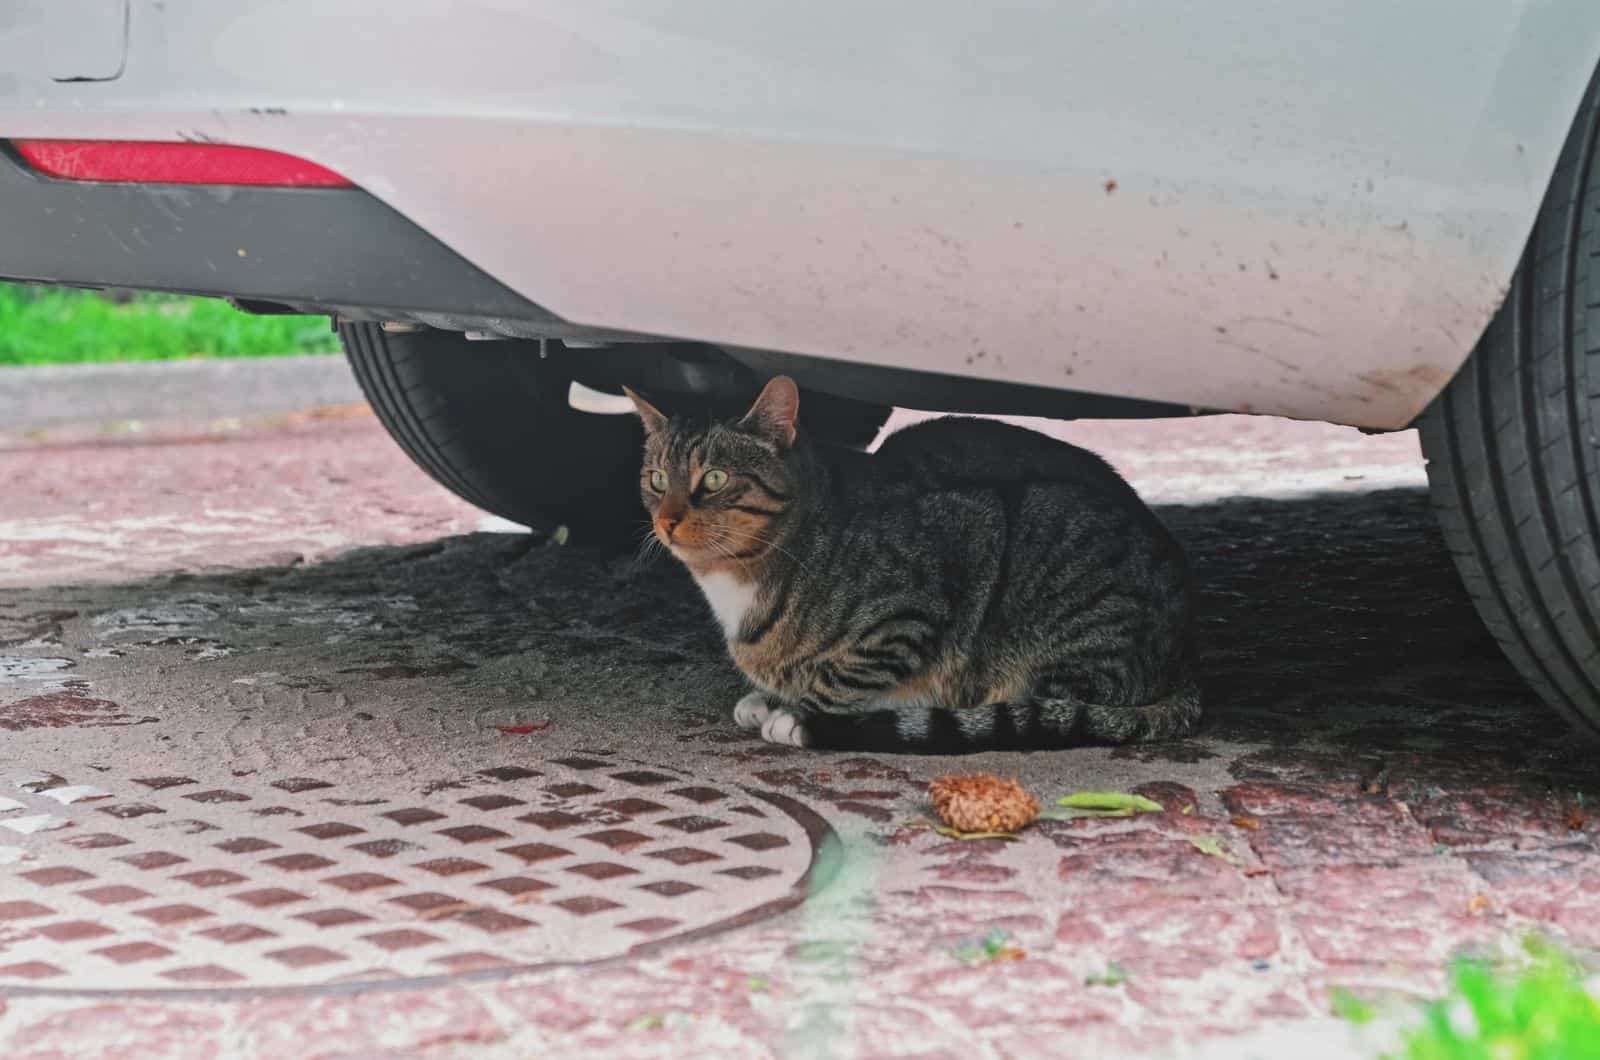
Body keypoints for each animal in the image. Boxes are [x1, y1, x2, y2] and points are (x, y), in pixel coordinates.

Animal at [624, 376, 1203, 755]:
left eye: (715, 479)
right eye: (656, 479)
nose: (667, 521)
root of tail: (1185, 665)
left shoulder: (922, 591)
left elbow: (841, 675)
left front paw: (796, 713)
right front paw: (769, 697)